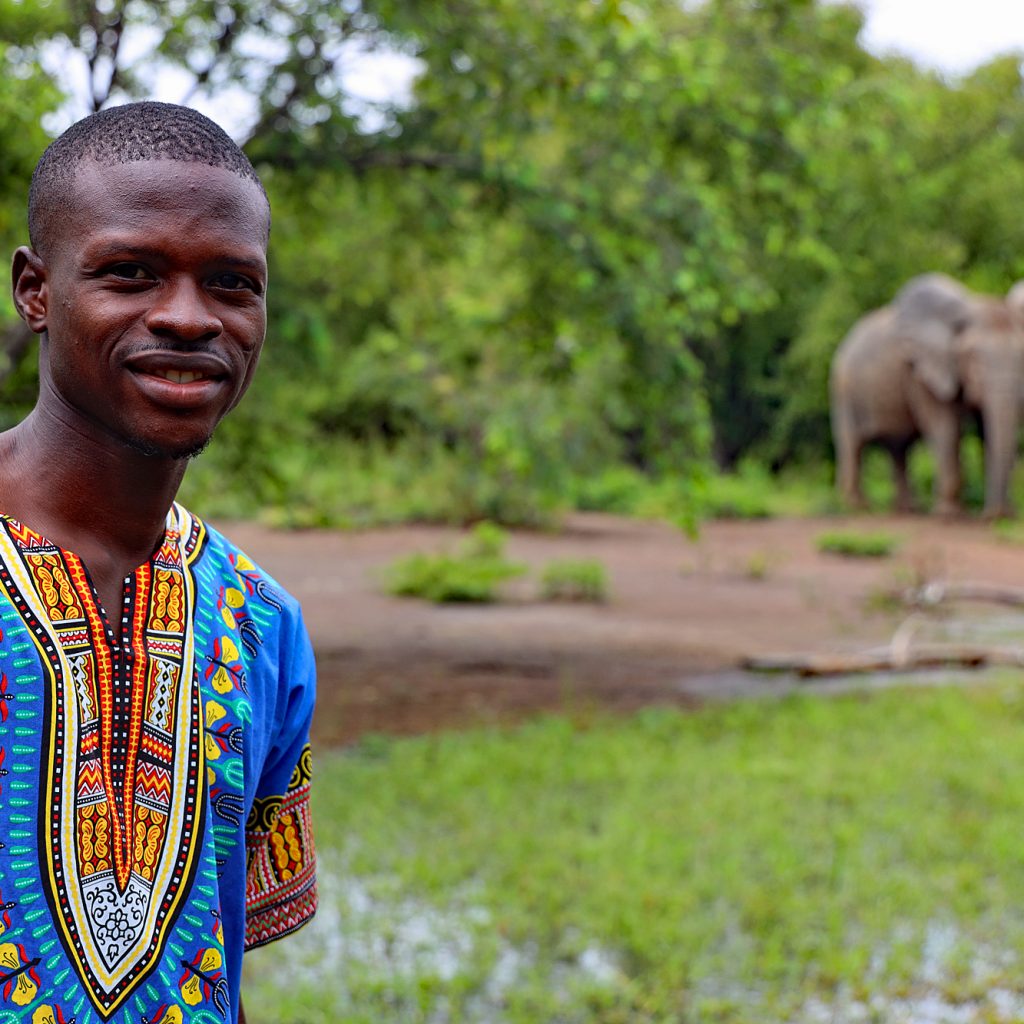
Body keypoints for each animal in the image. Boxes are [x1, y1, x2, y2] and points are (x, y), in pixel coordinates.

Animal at [827, 272, 1024, 516]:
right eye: (972, 356)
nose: (997, 515)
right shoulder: (920, 372)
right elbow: (945, 427)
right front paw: (949, 514)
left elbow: (985, 430)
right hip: (841, 388)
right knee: (852, 443)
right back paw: (855, 507)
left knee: (898, 447)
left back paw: (906, 509)